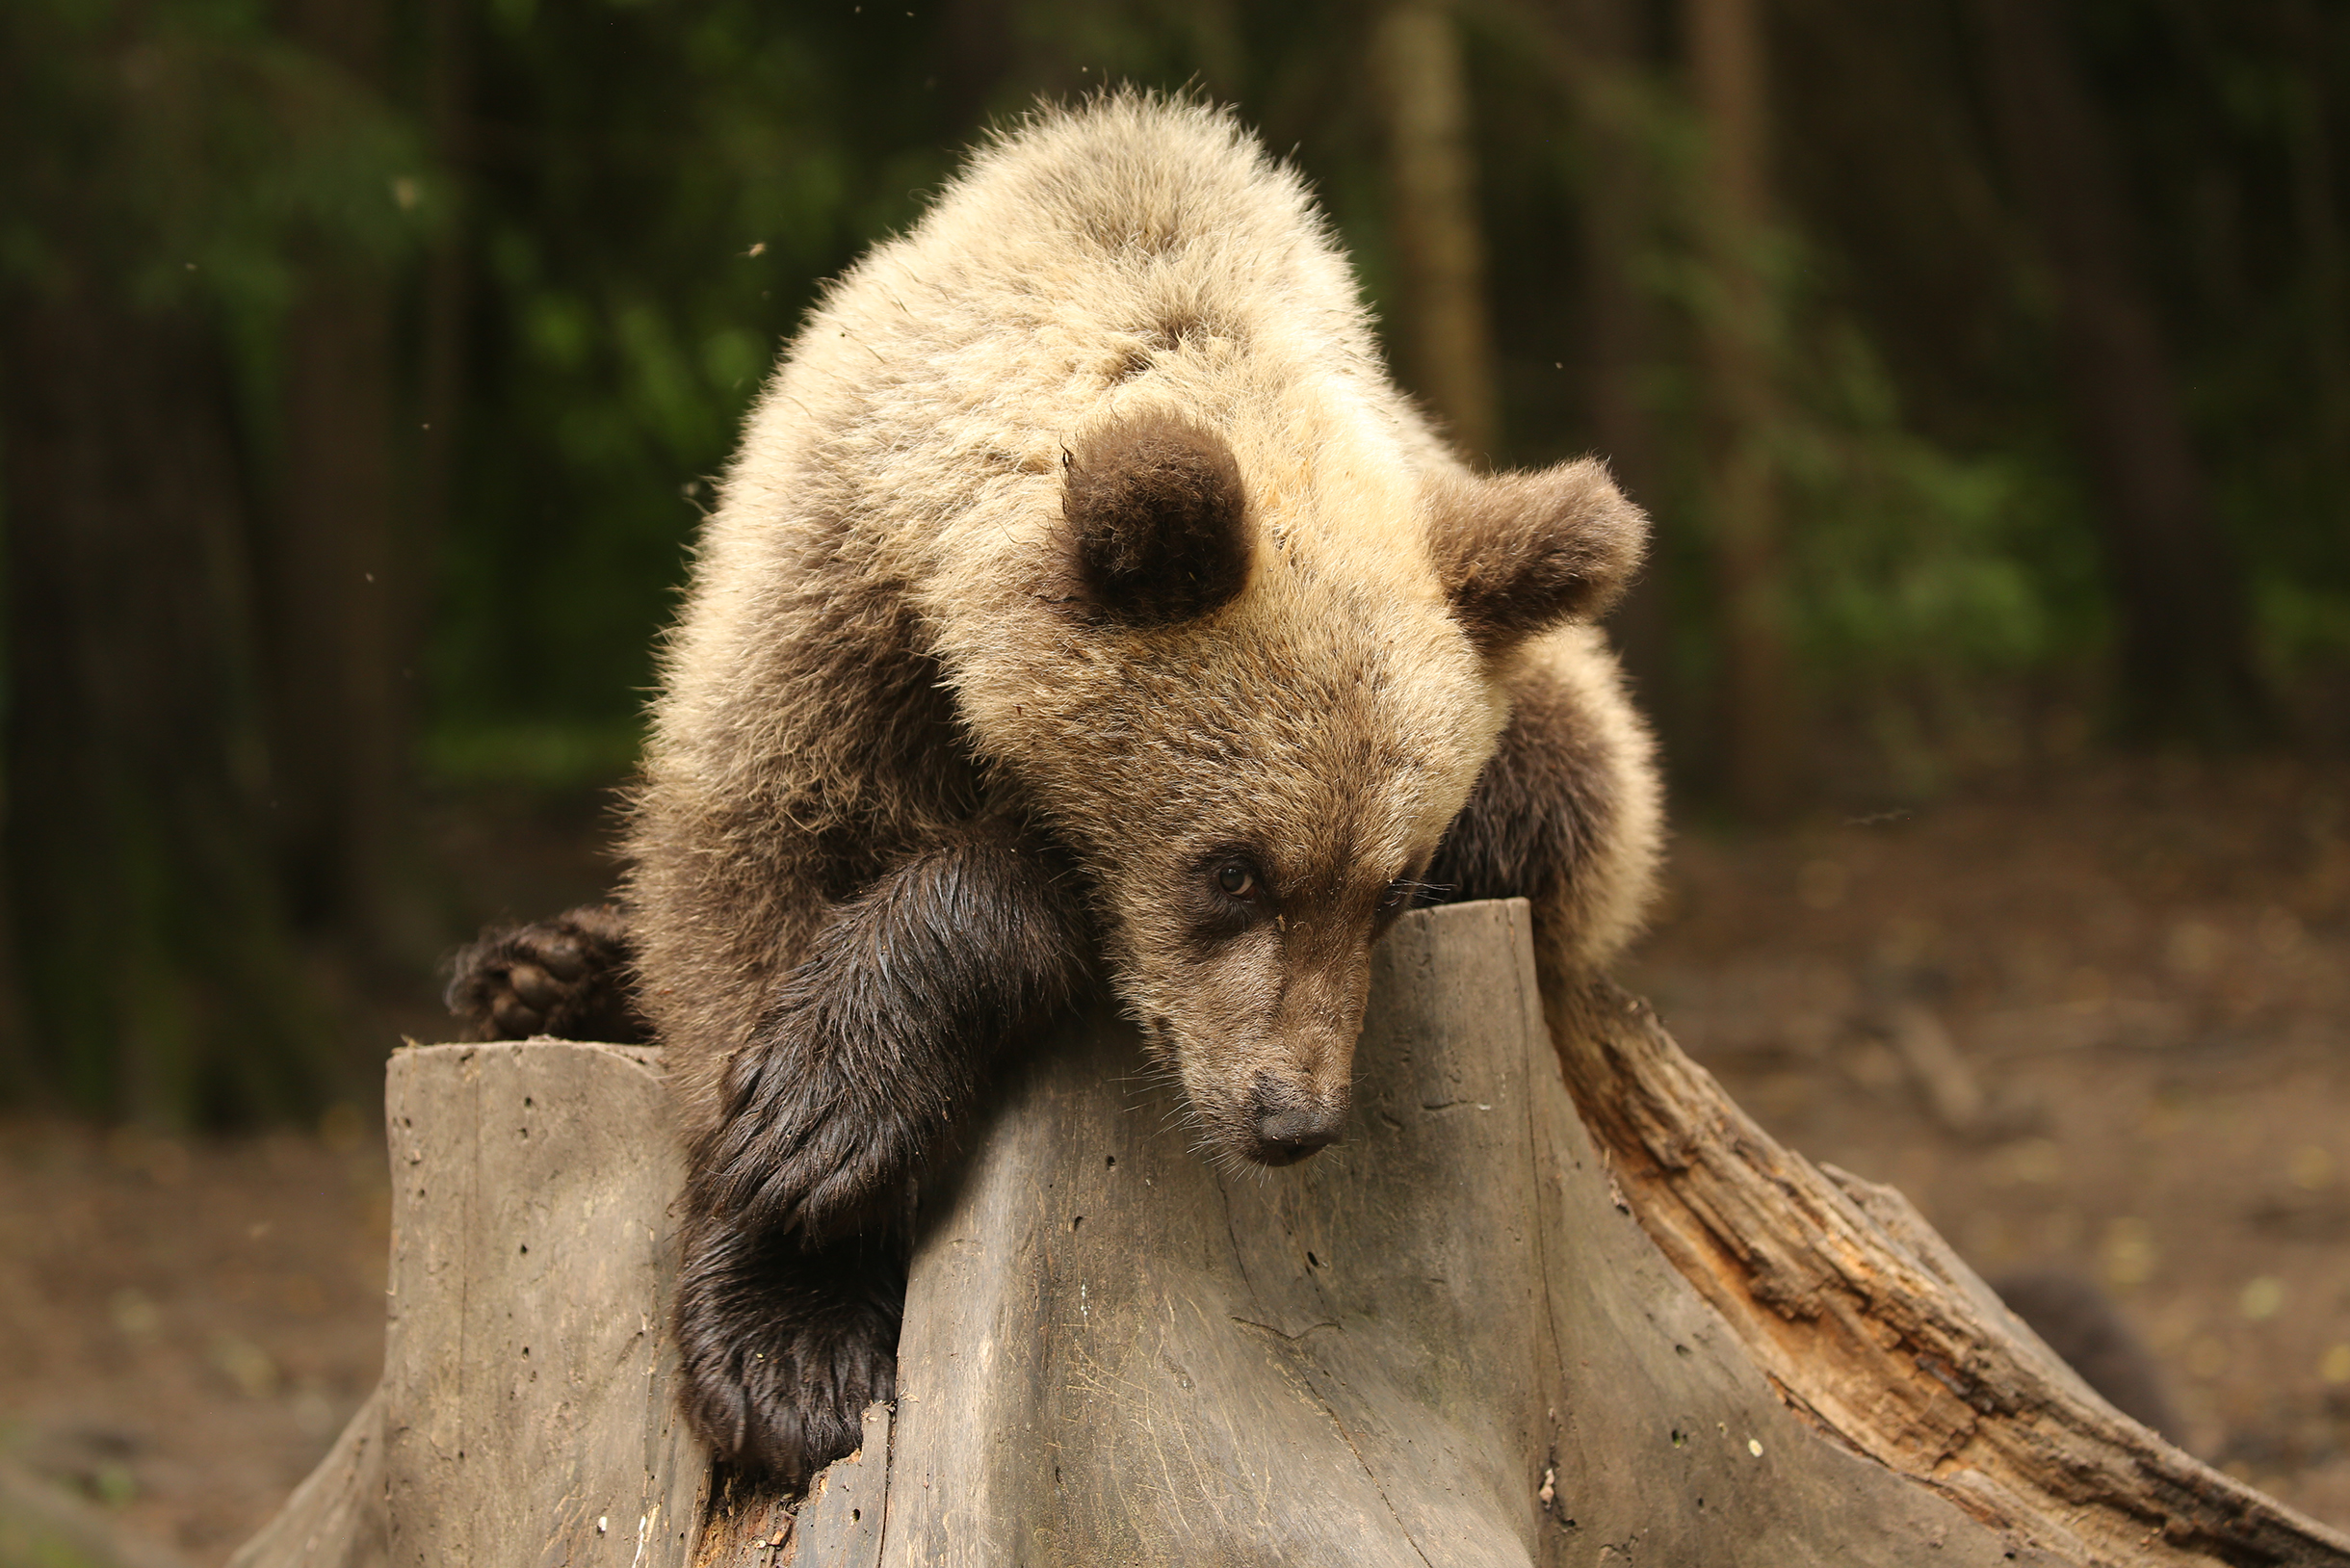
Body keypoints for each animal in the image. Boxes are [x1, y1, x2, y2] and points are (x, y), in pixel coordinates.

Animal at [449, 91, 1663, 1495]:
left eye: (1396, 888)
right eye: (1234, 868)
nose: (1289, 1114)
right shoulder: (820, 614)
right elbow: (747, 883)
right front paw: (788, 1311)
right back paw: (536, 969)